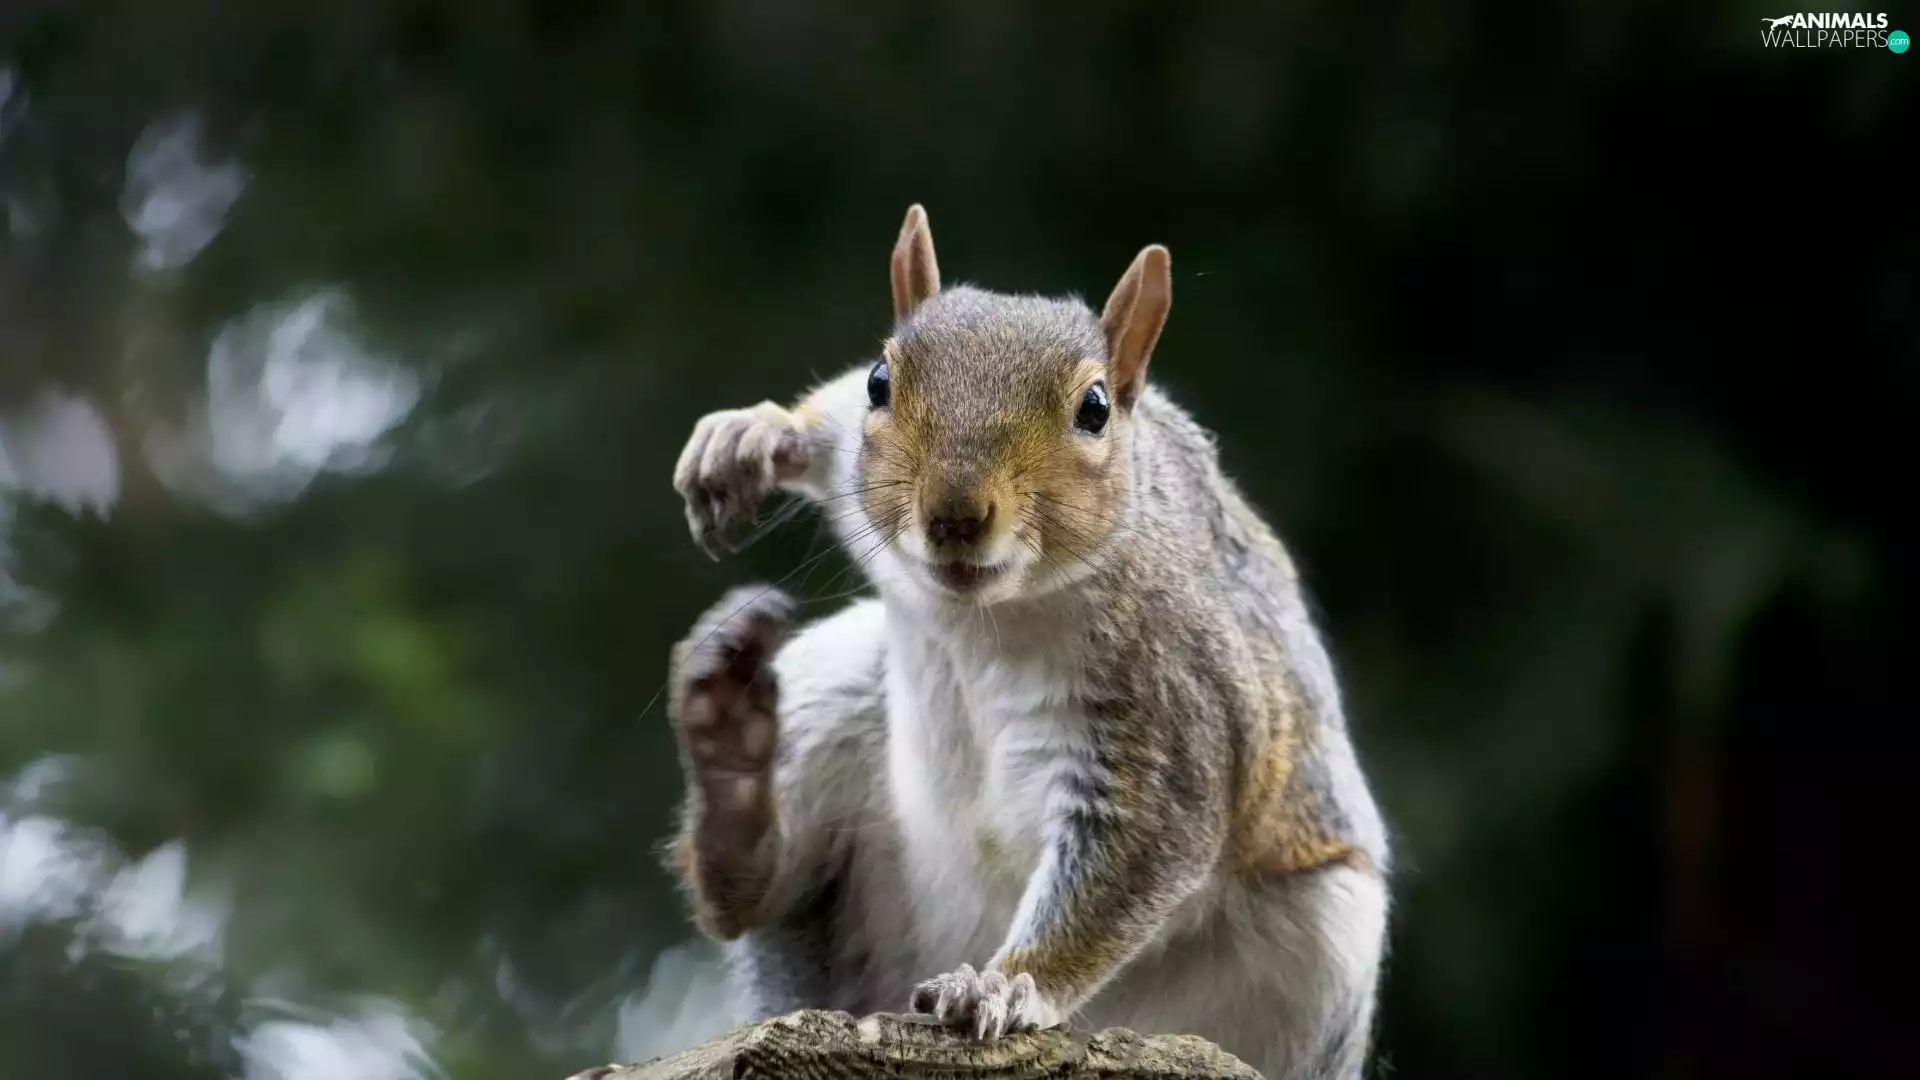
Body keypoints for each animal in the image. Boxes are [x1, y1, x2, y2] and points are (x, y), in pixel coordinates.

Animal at [662, 205, 1392, 1080]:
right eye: (879, 380)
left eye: (1095, 409)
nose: (954, 512)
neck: (985, 616)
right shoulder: (852, 446)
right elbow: (825, 422)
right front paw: (752, 435)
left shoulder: (1173, 699)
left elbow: (1137, 852)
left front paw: (1007, 985)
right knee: (751, 897)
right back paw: (729, 760)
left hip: (1312, 953)